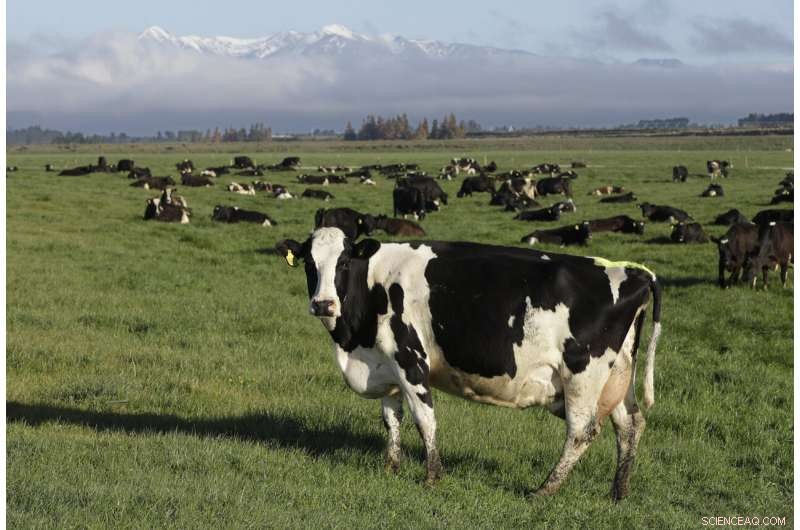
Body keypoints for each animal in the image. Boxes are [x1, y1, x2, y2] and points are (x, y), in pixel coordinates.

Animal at [275, 228, 661, 500]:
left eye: (343, 263)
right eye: (309, 264)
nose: (323, 304)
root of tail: (634, 272)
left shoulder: (410, 358)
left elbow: (424, 419)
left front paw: (432, 476)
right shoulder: (385, 364)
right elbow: (391, 418)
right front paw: (391, 467)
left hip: (583, 373)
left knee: (582, 431)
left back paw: (544, 490)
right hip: (616, 376)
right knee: (630, 425)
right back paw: (618, 492)